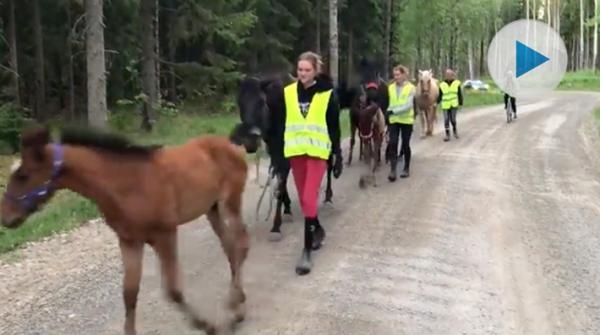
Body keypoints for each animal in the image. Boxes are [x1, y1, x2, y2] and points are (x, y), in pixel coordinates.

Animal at [0, 124, 258, 334]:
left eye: (23, 175)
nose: (6, 217)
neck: (126, 184)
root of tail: (232, 145)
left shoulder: (164, 235)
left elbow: (173, 290)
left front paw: (206, 325)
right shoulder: (129, 240)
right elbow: (129, 293)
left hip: (229, 202)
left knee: (242, 244)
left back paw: (235, 308)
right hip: (212, 209)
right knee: (230, 247)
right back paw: (238, 301)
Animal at [234, 73, 338, 243]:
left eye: (261, 102)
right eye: (240, 103)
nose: (250, 142)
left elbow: (281, 184)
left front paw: (276, 226)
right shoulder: (275, 152)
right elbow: (280, 181)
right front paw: (287, 209)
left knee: (328, 166)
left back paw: (328, 198)